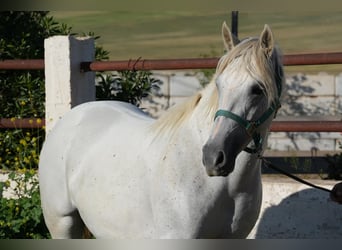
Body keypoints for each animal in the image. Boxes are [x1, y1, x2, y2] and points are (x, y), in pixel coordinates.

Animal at [38, 23, 284, 238]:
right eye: (219, 85)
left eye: (257, 89)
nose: (214, 157)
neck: (221, 186)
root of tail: (73, 115)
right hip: (62, 223)